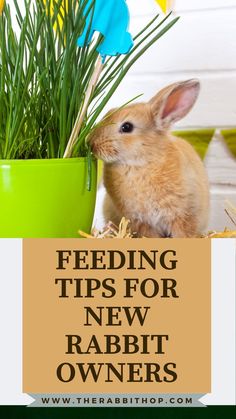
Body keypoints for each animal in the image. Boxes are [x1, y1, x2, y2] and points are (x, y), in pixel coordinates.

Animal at [89, 80, 209, 238]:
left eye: (127, 127)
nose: (91, 143)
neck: (140, 163)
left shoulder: (183, 215)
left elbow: (183, 233)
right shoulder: (141, 221)